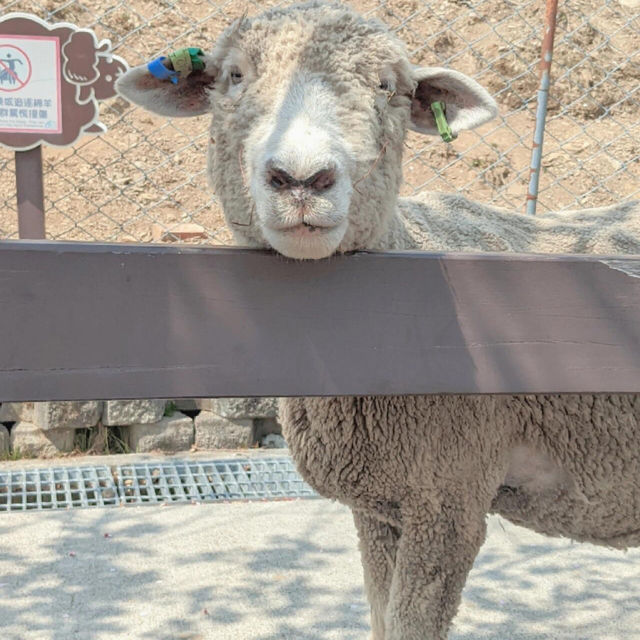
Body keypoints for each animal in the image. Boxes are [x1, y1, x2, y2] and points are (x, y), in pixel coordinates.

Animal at [115, 2, 640, 636]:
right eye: (235, 76)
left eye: (388, 87)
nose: (302, 179)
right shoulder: (381, 507)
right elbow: (381, 616)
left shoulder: (447, 502)